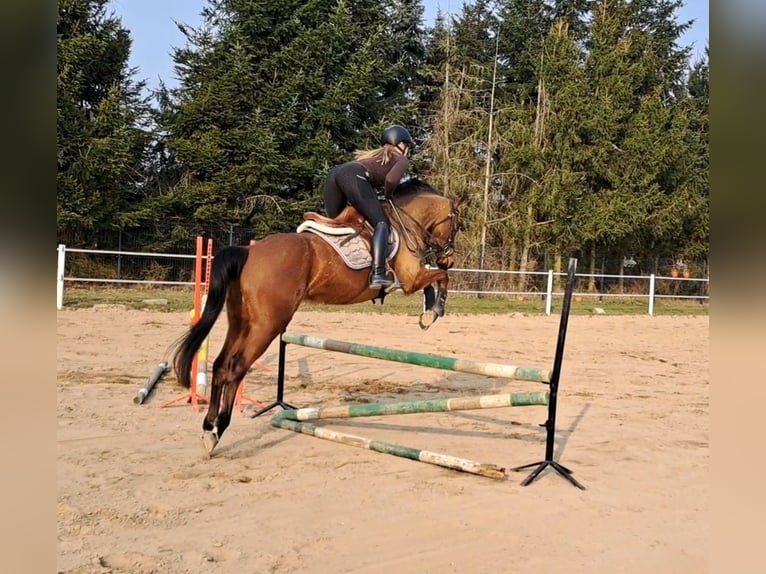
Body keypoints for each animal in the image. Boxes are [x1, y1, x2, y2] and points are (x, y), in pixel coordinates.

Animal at [172, 178, 462, 456]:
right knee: (236, 367)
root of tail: (248, 251)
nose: (448, 258)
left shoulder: (414, 277)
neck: (406, 221)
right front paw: (436, 309)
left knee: (222, 364)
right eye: (457, 225)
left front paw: (428, 309)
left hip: (240, 321)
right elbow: (440, 278)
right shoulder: (410, 279)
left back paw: (209, 426)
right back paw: (218, 429)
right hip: (267, 325)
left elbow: (433, 280)